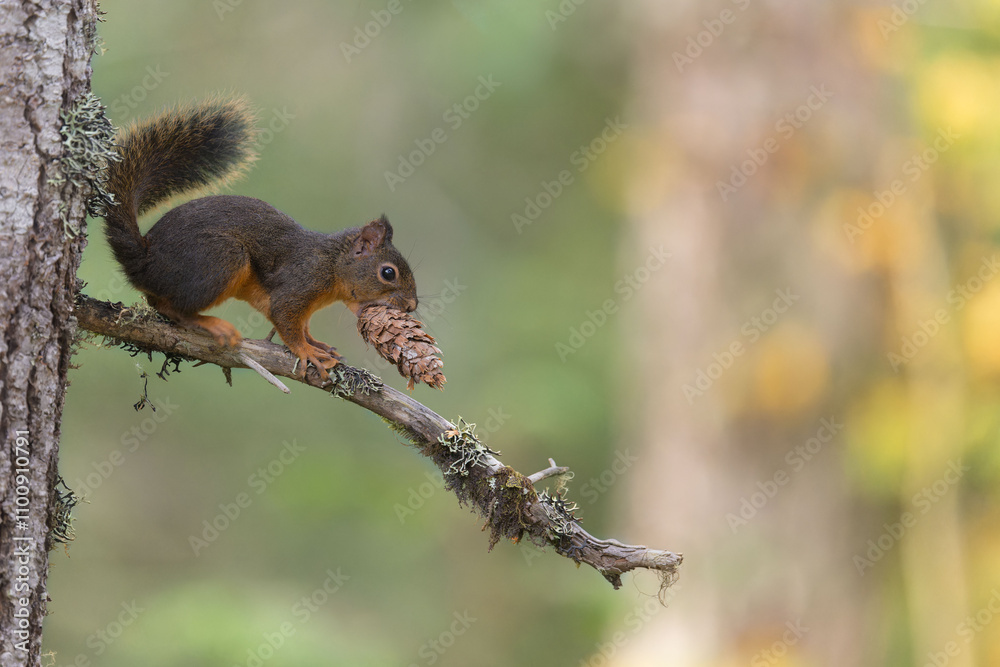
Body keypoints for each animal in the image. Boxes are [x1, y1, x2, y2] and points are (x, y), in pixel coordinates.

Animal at [101, 97, 418, 380]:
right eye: (388, 273)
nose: (412, 306)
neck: (332, 264)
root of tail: (144, 261)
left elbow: (302, 326)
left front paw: (317, 343)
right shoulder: (300, 284)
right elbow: (287, 321)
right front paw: (307, 352)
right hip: (222, 258)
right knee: (170, 308)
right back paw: (212, 325)